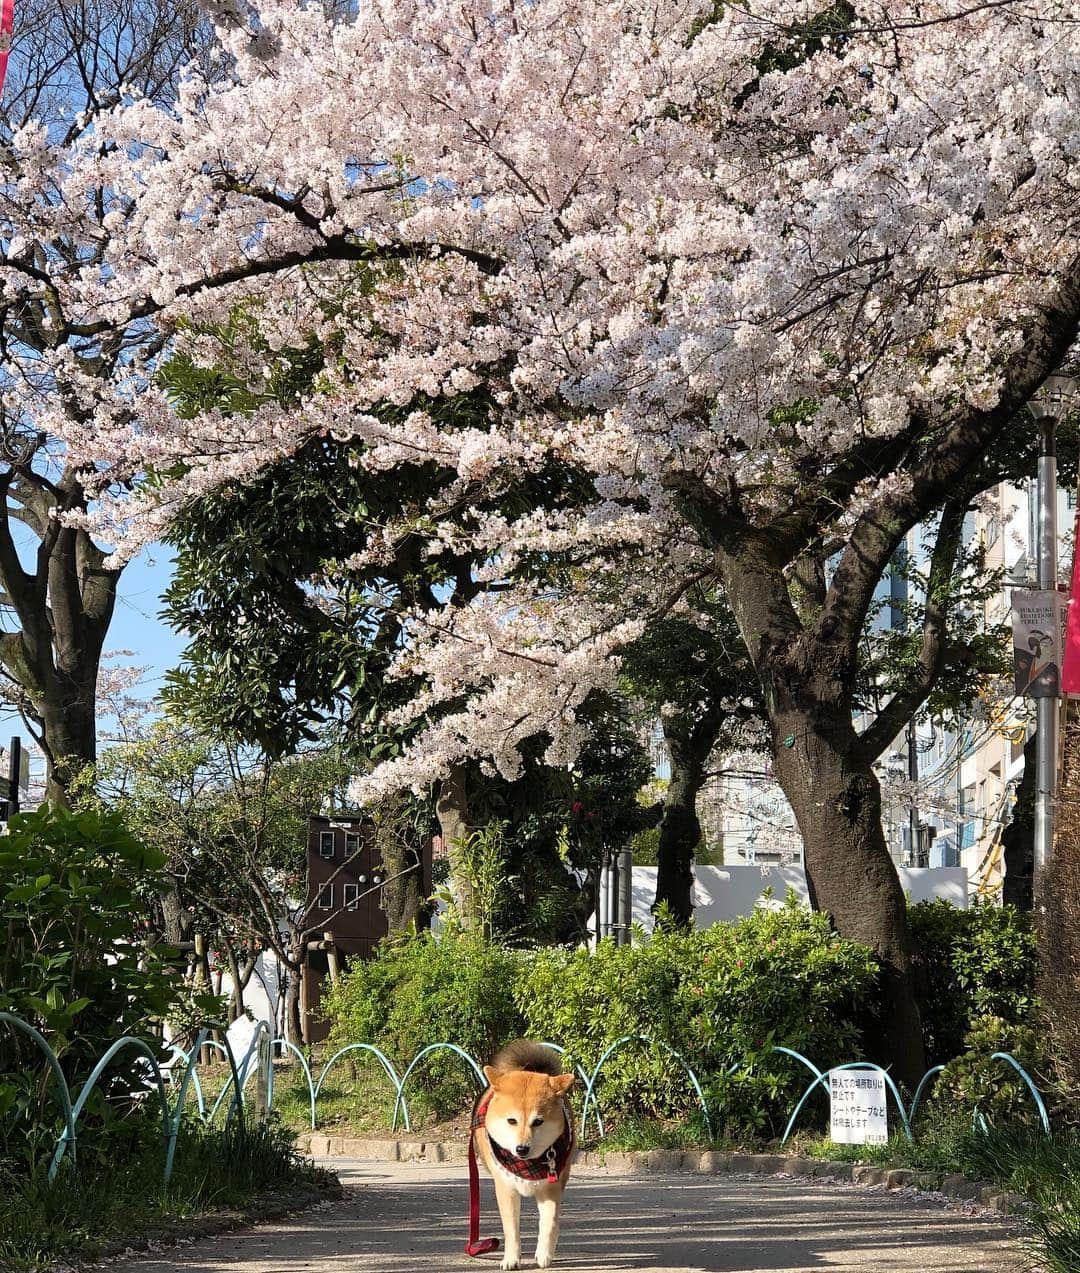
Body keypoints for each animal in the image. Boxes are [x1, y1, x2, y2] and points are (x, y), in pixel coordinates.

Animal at [473, 1038, 573, 1267]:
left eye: (538, 1121)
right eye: (512, 1120)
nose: (521, 1148)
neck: (529, 1165)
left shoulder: (550, 1186)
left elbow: (550, 1222)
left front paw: (544, 1252)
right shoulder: (506, 1187)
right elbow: (511, 1229)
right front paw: (511, 1258)